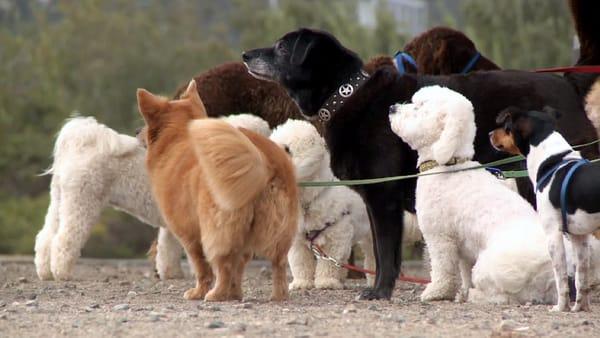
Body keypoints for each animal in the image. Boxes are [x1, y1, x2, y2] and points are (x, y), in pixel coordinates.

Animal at [36, 113, 270, 280]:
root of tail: (81, 142)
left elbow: (168, 249)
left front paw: (171, 274)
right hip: (82, 202)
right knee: (65, 238)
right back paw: (61, 272)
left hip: (60, 200)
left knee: (46, 238)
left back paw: (45, 272)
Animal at [135, 81, 296, 302]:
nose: (136, 131)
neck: (178, 137)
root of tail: (263, 162)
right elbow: (239, 268)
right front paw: (235, 293)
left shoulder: (190, 235)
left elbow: (202, 268)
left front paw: (199, 292)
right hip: (279, 231)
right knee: (277, 264)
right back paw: (278, 295)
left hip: (217, 231)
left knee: (223, 265)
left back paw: (215, 294)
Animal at [270, 120, 376, 290]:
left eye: (287, 149)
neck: (308, 197)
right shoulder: (297, 240)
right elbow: (300, 263)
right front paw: (302, 283)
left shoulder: (336, 234)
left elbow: (329, 263)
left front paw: (326, 281)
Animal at [390, 85, 564, 304]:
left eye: (420, 107)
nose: (392, 108)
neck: (449, 164)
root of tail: (548, 272)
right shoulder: (464, 247)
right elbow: (463, 273)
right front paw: (461, 292)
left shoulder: (439, 237)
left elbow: (443, 269)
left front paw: (436, 292)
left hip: (490, 267)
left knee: (503, 297)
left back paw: (476, 295)